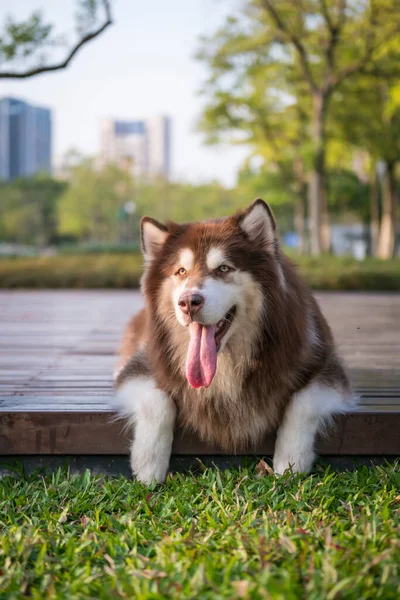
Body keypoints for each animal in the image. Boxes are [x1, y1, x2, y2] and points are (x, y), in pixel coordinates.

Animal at [113, 199, 354, 486]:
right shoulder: (144, 364)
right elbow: (157, 403)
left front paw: (291, 460)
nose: (188, 302)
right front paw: (148, 463)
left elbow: (303, 402)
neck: (226, 364)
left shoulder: (327, 366)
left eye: (224, 268)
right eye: (181, 271)